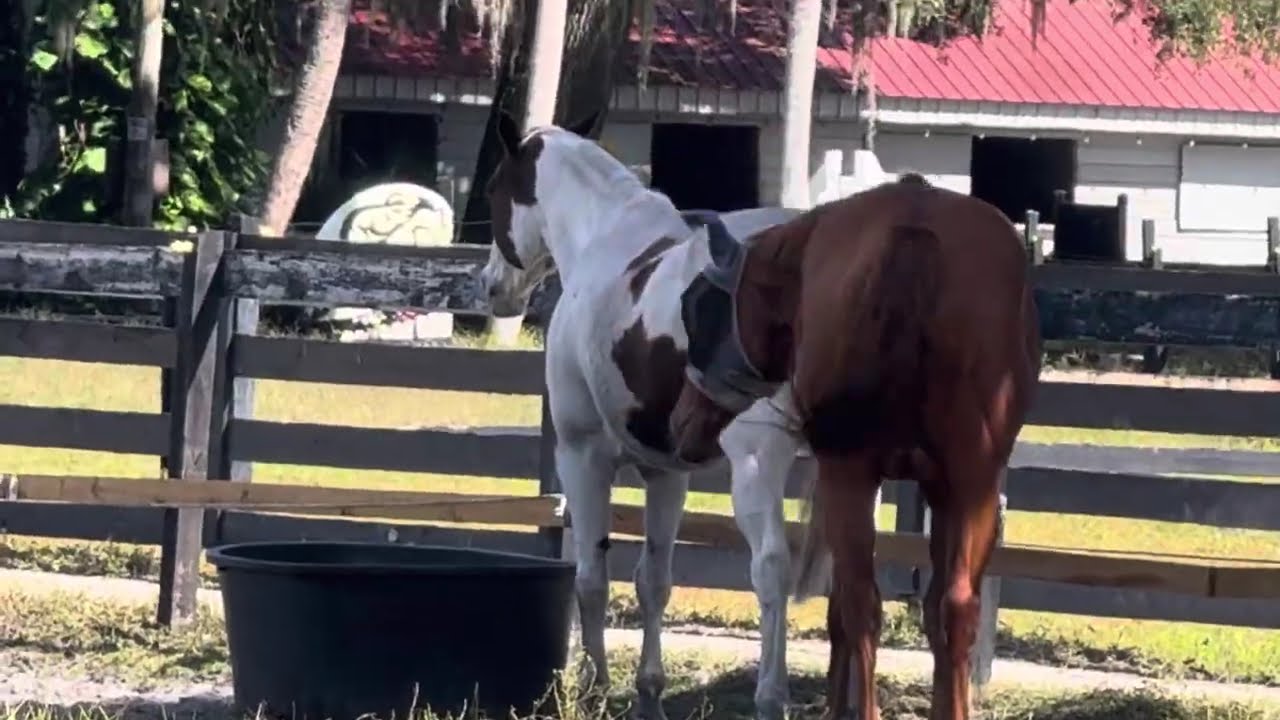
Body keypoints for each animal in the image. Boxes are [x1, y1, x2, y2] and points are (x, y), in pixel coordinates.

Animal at [475, 111, 817, 720]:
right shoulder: (667, 473)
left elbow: (591, 575)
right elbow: (654, 580)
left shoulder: (582, 455)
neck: (602, 235)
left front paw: (594, 689)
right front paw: (649, 693)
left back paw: (770, 695)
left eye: (495, 187)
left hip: (760, 460)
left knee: (772, 568)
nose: (493, 288)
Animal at [669, 174, 1043, 720]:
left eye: (697, 307)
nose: (680, 423)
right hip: (965, 481)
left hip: (861, 476)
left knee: (864, 603)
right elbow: (933, 608)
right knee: (948, 607)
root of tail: (914, 233)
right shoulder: (947, 490)